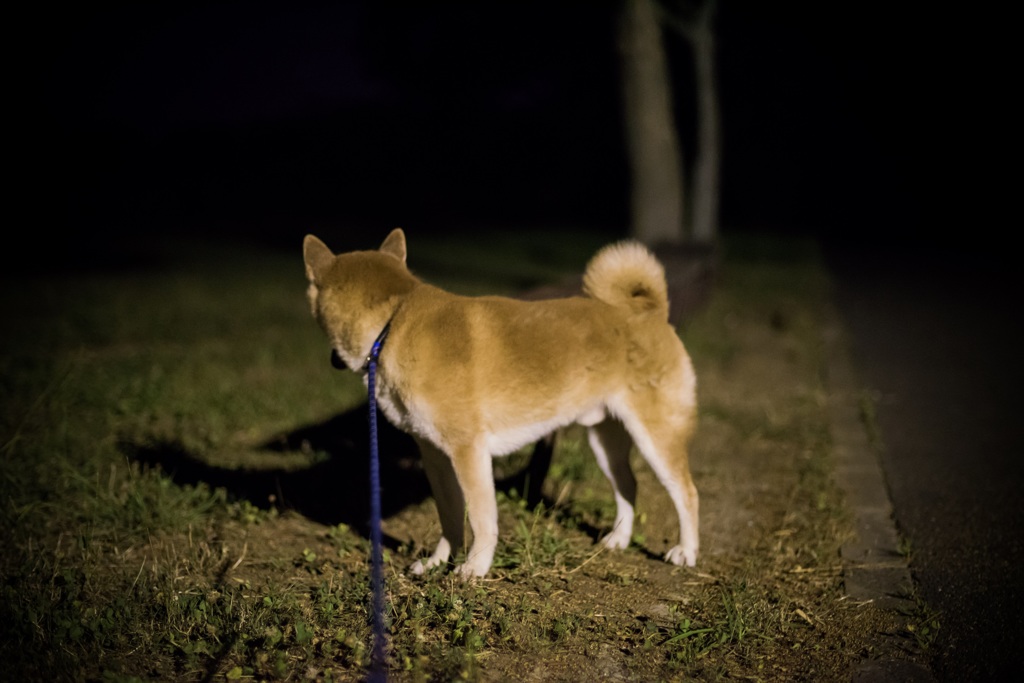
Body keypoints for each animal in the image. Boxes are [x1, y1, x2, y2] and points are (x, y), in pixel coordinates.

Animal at [303, 229, 700, 577]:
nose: (332, 361)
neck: (393, 322)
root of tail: (651, 313)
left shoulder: (469, 452)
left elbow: (482, 520)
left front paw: (474, 568)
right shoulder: (436, 456)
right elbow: (450, 518)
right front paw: (437, 563)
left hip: (656, 437)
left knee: (686, 492)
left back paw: (687, 552)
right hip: (605, 440)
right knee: (627, 486)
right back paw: (618, 539)